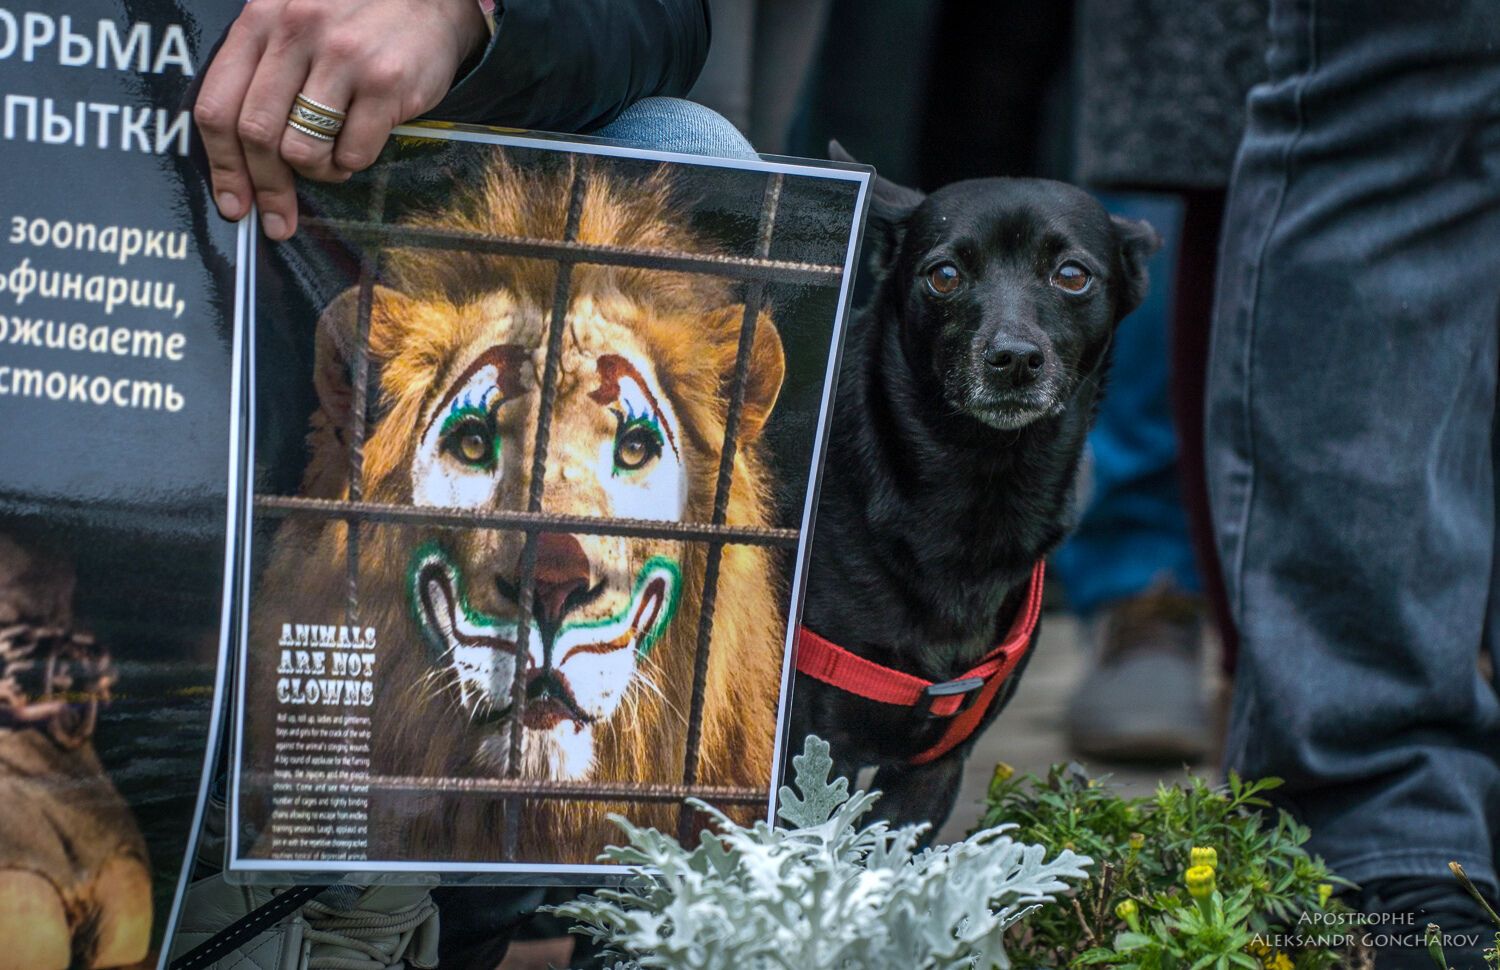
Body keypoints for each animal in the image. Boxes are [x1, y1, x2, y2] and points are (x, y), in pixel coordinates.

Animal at [798, 147, 1158, 833]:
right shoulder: (806, 745)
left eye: (1073, 275)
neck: (976, 487)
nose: (1014, 358)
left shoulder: (932, 772)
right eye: (943, 276)